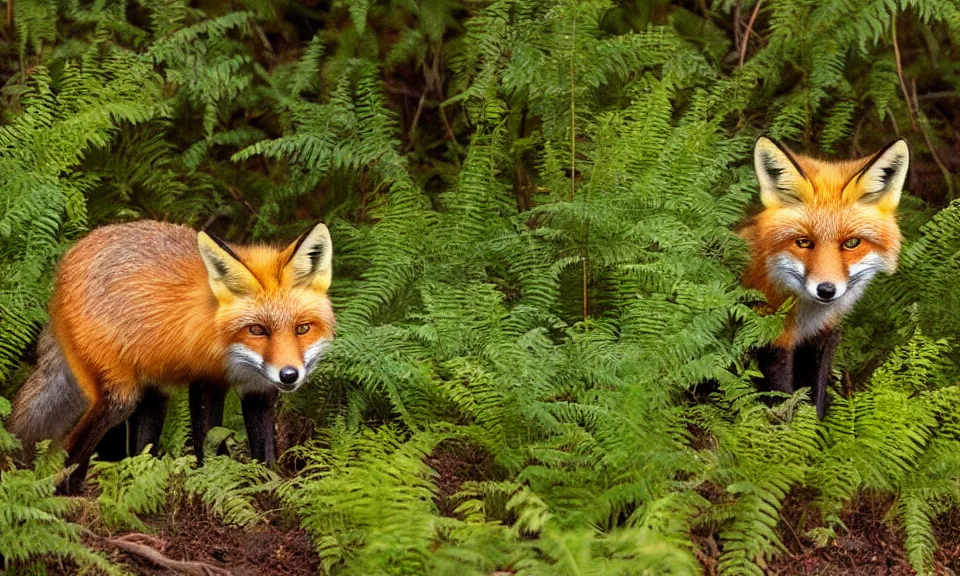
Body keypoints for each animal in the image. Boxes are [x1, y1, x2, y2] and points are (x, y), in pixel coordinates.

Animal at [7, 220, 336, 496]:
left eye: (302, 328)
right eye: (257, 330)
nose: (289, 375)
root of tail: (69, 258)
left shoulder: (259, 390)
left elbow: (266, 454)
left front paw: (272, 493)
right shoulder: (206, 382)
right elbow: (208, 445)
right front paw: (216, 486)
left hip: (154, 392)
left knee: (139, 448)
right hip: (119, 396)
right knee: (73, 446)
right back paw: (65, 495)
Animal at [744, 137, 908, 418]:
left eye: (852, 243)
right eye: (803, 242)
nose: (826, 290)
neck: (805, 320)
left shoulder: (824, 338)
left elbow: (815, 401)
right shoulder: (771, 338)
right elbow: (782, 403)